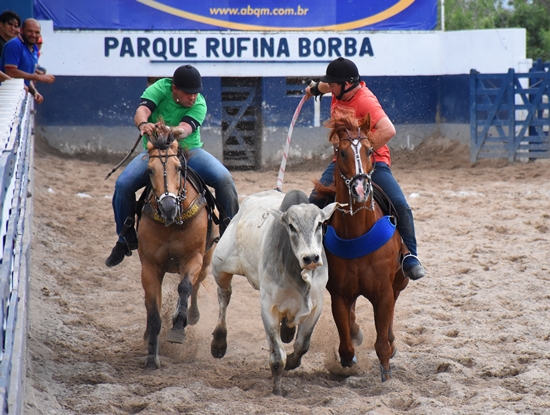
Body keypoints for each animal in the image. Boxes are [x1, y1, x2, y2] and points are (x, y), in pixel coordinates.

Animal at [137, 122, 217, 370]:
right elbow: (153, 312)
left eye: (179, 168)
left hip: (207, 261)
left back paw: (191, 316)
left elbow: (185, 287)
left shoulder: (194, 258)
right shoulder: (150, 267)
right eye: (149, 170)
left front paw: (178, 328)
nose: (168, 207)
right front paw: (151, 358)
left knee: (196, 285)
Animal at [211, 190, 340, 394]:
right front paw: (277, 390)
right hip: (220, 266)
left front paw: (292, 363)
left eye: (319, 224)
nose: (311, 257)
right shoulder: (268, 307)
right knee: (224, 296)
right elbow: (278, 356)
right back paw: (219, 341)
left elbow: (302, 345)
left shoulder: (316, 305)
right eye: (291, 226)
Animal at [316, 109, 412, 382]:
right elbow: (346, 343)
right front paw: (348, 358)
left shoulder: (384, 292)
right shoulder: (338, 293)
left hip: (400, 279)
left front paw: (386, 370)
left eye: (370, 151)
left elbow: (381, 339)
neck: (356, 232)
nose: (360, 187)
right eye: (342, 152)